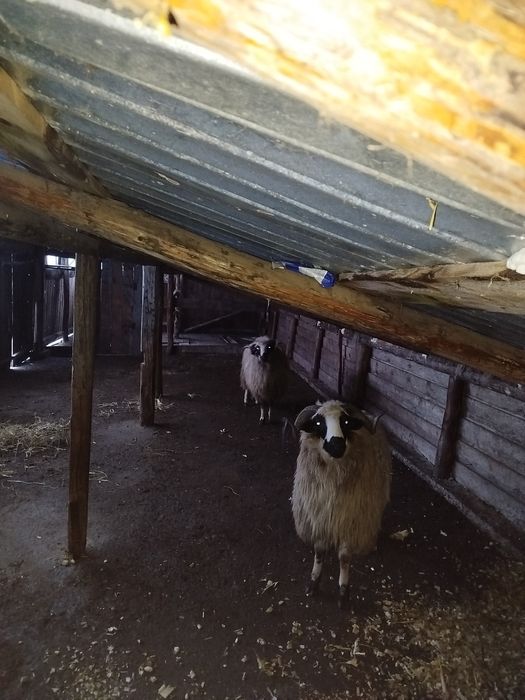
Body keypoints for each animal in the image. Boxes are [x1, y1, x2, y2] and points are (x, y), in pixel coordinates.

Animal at [292, 400, 391, 608]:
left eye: (345, 422)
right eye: (319, 423)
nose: (336, 445)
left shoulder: (350, 523)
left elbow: (345, 558)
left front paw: (343, 593)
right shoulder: (320, 518)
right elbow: (319, 552)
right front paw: (313, 583)